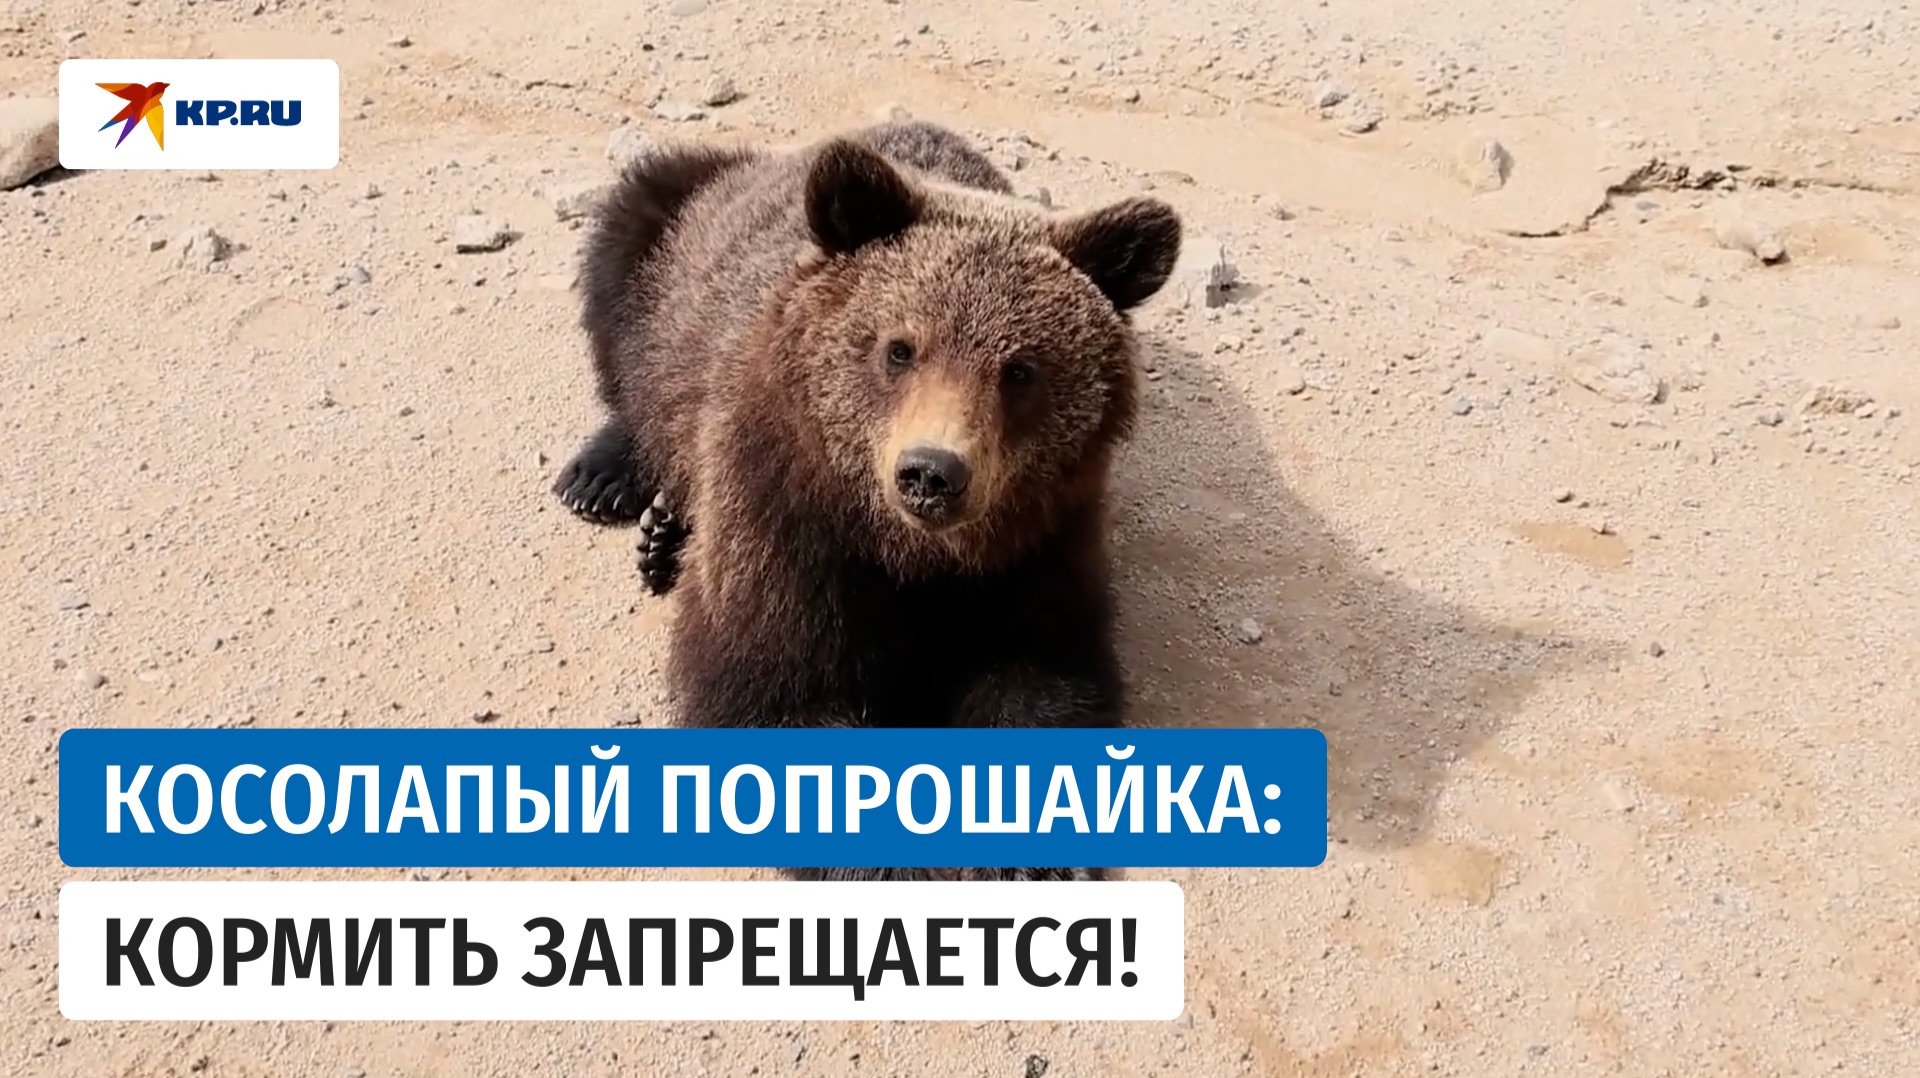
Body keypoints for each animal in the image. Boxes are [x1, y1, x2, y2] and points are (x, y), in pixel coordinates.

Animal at [551, 119, 1183, 881]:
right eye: (900, 347)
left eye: (1020, 369)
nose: (932, 473)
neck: (908, 551)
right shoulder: (788, 517)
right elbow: (782, 683)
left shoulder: (1038, 542)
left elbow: (1041, 669)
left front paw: (1022, 859)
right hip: (675, 250)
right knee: (622, 274)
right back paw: (613, 486)